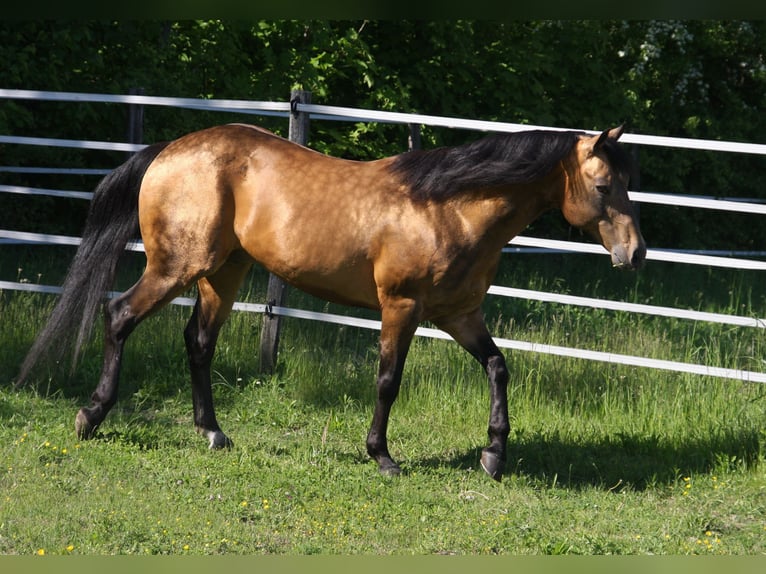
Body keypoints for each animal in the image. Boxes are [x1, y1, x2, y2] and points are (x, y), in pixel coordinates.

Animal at [17, 123, 646, 481]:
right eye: (603, 186)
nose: (635, 253)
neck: (450, 207)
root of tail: (169, 150)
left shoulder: (459, 314)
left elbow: (497, 366)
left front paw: (493, 455)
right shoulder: (402, 308)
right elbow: (388, 381)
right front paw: (383, 457)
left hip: (224, 272)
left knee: (198, 342)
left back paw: (212, 433)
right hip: (176, 267)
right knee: (119, 315)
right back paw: (91, 416)